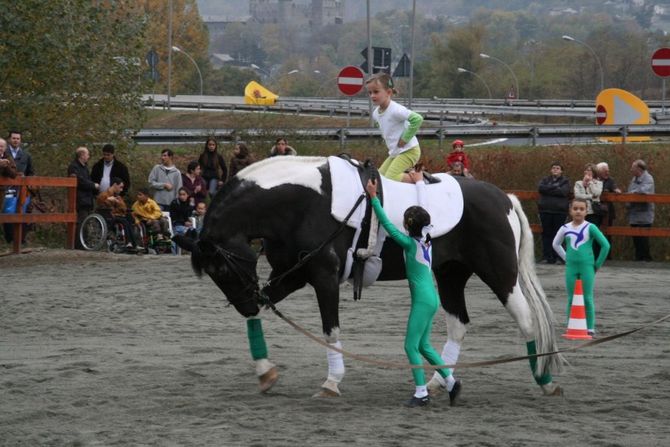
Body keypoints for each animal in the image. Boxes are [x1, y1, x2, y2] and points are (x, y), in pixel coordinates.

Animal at [176, 157, 564, 400]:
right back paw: (440, 382)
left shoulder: (323, 277)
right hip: (450, 273)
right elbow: (260, 314)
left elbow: (330, 330)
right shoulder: (292, 275)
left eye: (220, 269)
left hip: (500, 274)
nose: (241, 303)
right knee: (459, 325)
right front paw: (265, 372)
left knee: (526, 321)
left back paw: (544, 381)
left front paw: (331, 382)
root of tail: (504, 197)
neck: (301, 203)